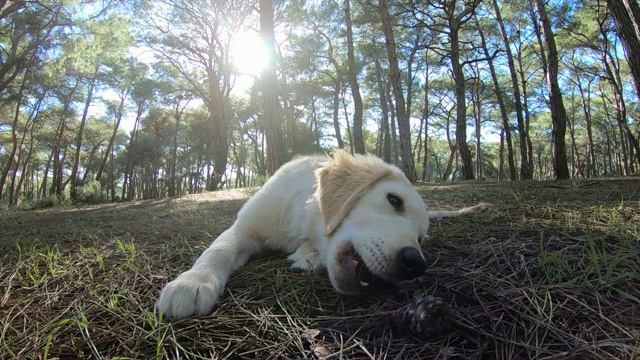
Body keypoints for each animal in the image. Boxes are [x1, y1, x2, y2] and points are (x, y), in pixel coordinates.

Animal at [156, 152, 484, 318]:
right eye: (394, 200)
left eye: (421, 238)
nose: (415, 264)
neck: (302, 222)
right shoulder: (245, 227)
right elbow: (218, 249)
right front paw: (192, 282)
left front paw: (307, 255)